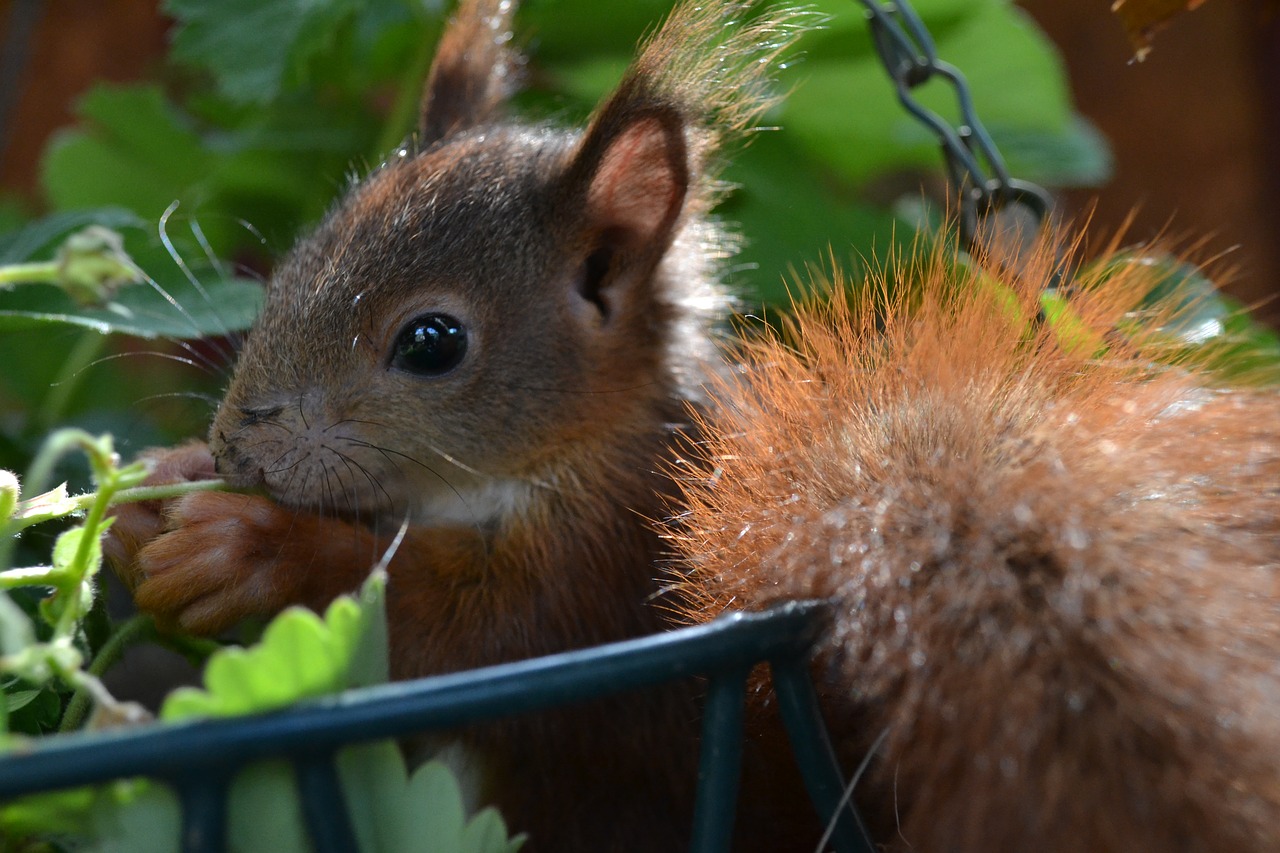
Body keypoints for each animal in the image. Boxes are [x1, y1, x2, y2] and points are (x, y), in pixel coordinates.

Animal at [107, 0, 1280, 845]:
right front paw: (143, 500)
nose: (235, 446)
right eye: (295, 257)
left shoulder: (618, 563)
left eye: (432, 341)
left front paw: (250, 543)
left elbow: (456, 635)